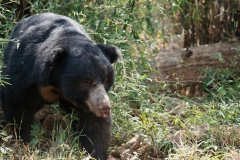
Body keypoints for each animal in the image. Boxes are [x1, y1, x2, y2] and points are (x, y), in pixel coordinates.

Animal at [0, 12, 120, 159]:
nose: (105, 108)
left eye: (106, 80)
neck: (58, 84)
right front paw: (25, 142)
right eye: (85, 82)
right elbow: (18, 105)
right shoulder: (25, 75)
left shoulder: (88, 101)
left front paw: (94, 153)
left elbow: (93, 123)